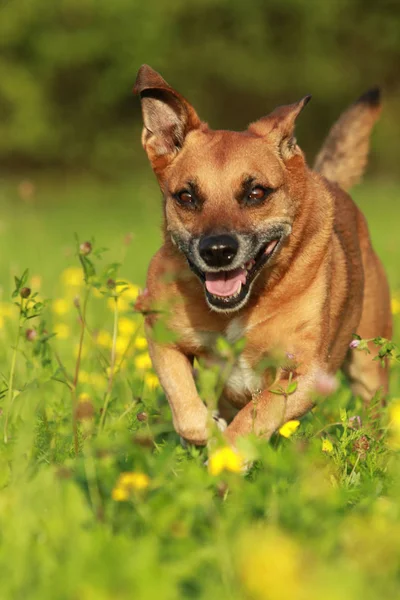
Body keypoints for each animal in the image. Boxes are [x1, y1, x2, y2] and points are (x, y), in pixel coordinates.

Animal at [134, 67, 390, 450]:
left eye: (256, 193)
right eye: (186, 197)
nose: (217, 251)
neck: (236, 311)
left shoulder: (306, 373)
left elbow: (256, 416)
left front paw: (228, 454)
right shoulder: (162, 337)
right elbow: (188, 412)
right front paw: (210, 433)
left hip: (368, 365)